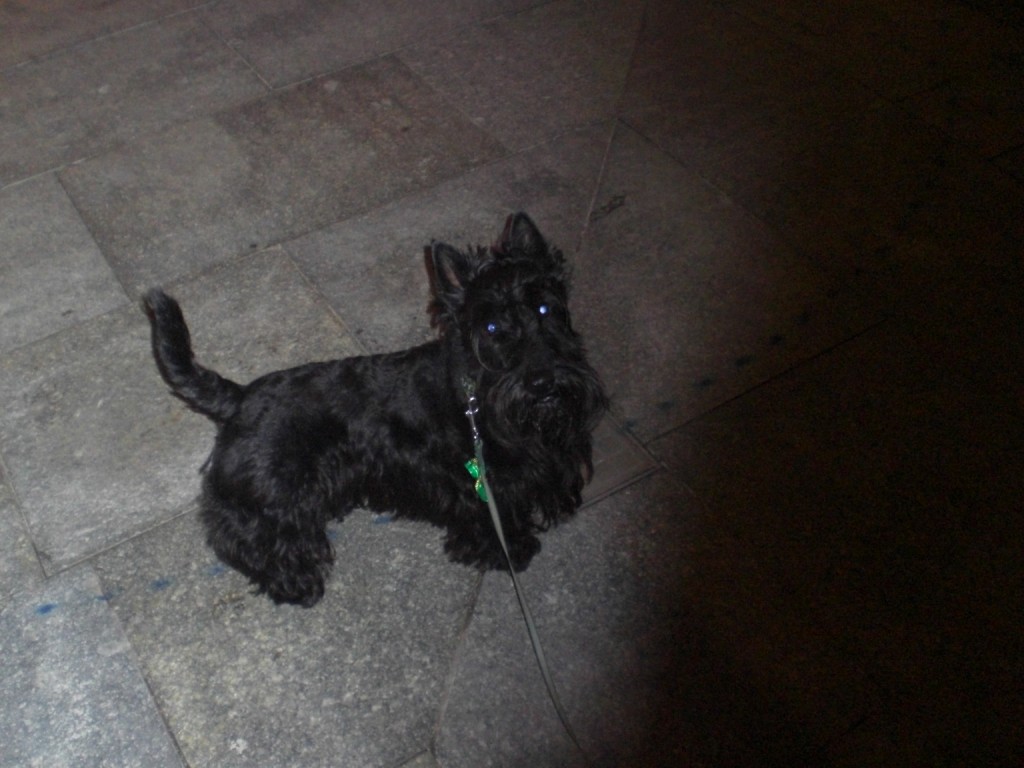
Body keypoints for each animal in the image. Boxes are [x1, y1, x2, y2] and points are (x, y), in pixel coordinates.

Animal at [143, 213, 607, 607]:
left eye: (545, 308)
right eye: (491, 327)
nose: (542, 382)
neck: (479, 389)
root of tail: (240, 396)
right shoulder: (481, 486)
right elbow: (492, 521)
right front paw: (510, 550)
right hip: (276, 496)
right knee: (248, 536)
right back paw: (296, 582)